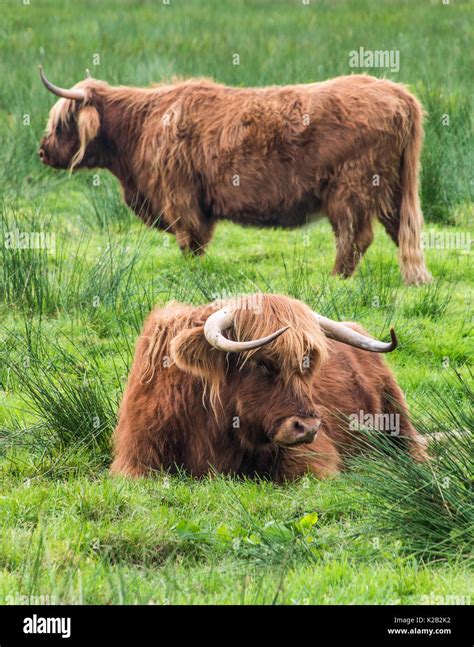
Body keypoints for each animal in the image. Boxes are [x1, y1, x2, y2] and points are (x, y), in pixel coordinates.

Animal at [39, 66, 432, 286]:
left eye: (60, 123)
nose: (42, 151)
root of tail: (398, 92)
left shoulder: (180, 197)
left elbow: (191, 242)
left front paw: (192, 275)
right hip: (392, 189)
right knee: (402, 232)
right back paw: (417, 281)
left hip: (351, 187)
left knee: (355, 237)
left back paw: (335, 280)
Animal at [112, 294, 430, 480]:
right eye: (262, 363)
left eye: (307, 363)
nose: (308, 427)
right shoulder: (133, 460)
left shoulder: (314, 456)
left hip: (395, 412)